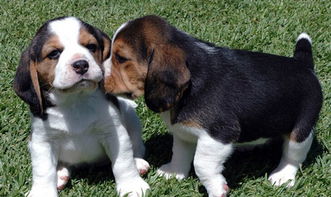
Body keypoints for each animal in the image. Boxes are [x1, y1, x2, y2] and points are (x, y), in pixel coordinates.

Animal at [13, 16, 150, 197]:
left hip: (131, 117)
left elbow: (123, 161)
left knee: (137, 146)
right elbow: (43, 170)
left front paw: (131, 186)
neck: (75, 100)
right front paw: (42, 192)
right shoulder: (42, 140)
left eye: (91, 46)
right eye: (54, 53)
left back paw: (138, 163)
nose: (81, 64)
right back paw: (60, 175)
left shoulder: (113, 131)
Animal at [102, 15, 322, 197]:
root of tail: (304, 65)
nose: (98, 75)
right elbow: (180, 153)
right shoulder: (183, 131)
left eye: (121, 58)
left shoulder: (219, 134)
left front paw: (217, 189)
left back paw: (283, 176)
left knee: (293, 155)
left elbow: (202, 164)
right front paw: (174, 173)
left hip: (301, 130)